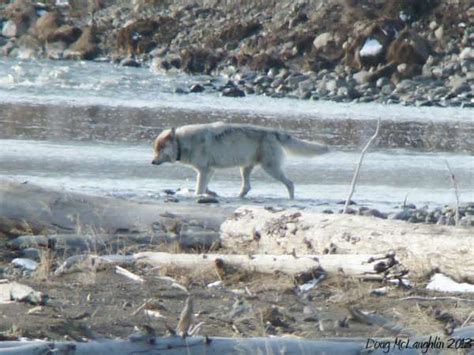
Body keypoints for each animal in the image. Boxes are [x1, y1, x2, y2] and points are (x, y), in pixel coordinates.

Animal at [150, 123, 328, 200]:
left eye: (159, 149)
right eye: (155, 149)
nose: (152, 162)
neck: (182, 143)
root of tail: (274, 131)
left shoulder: (204, 170)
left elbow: (199, 189)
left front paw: (198, 196)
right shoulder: (209, 171)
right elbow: (206, 187)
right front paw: (211, 194)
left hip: (270, 169)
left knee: (290, 183)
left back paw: (291, 199)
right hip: (245, 169)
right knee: (247, 187)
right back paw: (237, 197)